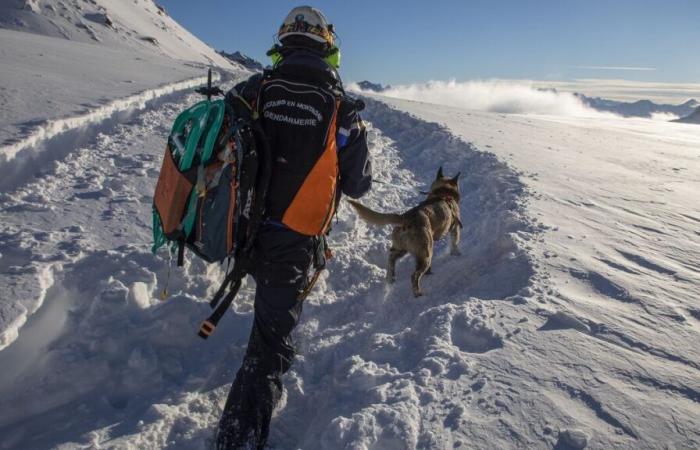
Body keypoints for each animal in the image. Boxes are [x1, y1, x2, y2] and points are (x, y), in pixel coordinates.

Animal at [348, 167, 462, 298]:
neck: (443, 193)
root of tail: (405, 218)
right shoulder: (455, 228)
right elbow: (455, 242)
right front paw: (456, 253)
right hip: (425, 252)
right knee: (414, 276)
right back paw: (417, 293)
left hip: (401, 248)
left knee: (391, 258)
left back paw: (391, 277)